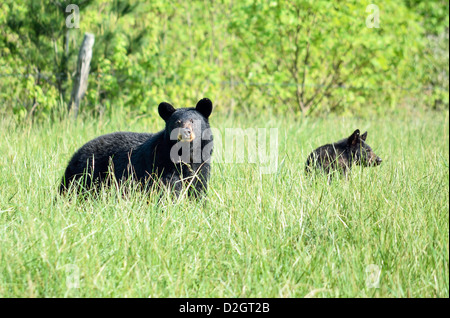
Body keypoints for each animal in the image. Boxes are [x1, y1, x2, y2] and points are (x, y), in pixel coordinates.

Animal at [59, 97, 214, 198]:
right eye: (177, 122)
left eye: (193, 121)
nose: (185, 132)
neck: (187, 154)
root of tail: (75, 155)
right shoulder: (162, 164)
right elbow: (169, 187)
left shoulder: (202, 165)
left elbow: (198, 187)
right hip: (87, 173)